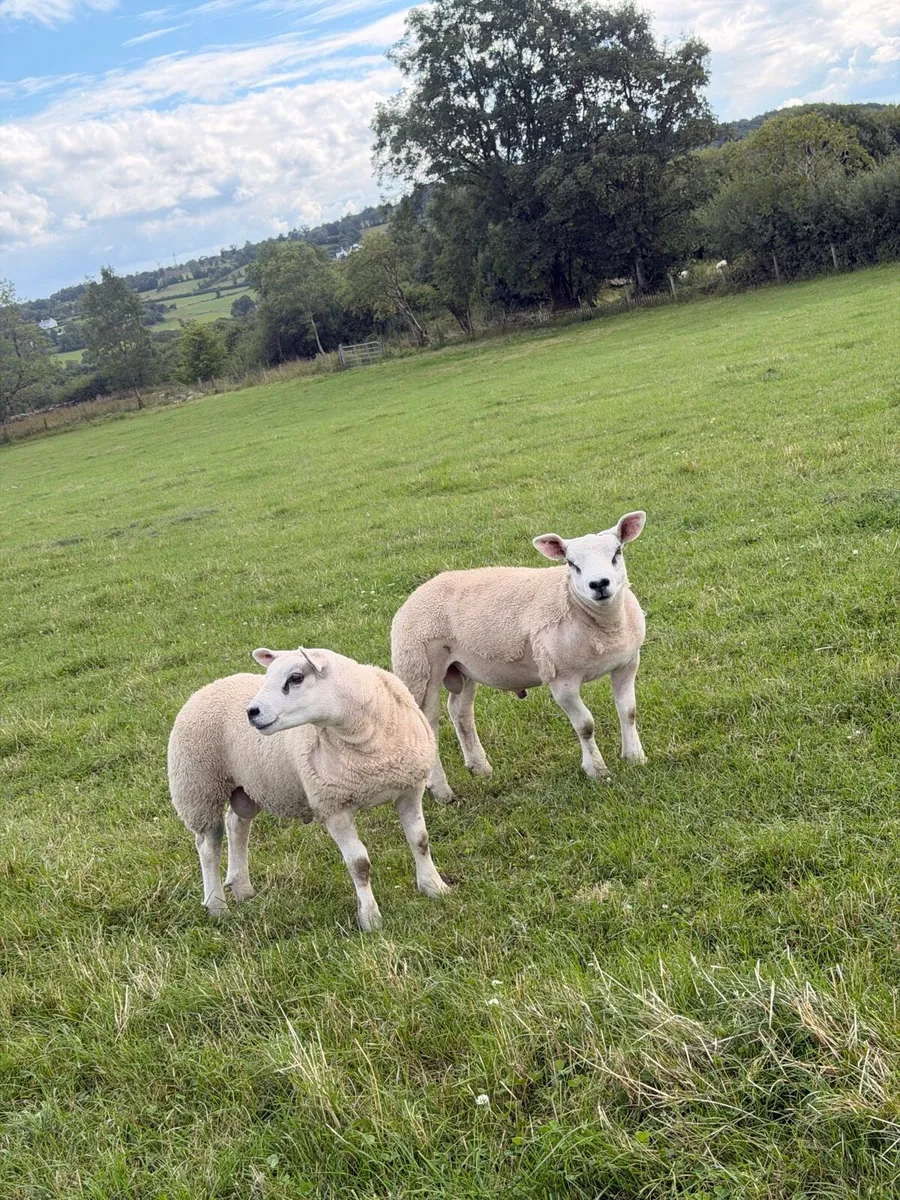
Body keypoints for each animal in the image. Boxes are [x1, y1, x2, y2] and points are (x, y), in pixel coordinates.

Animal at [168, 646, 449, 929]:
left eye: (295, 678)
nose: (251, 712)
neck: (367, 742)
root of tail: (207, 687)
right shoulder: (333, 808)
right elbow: (359, 864)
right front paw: (370, 918)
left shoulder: (410, 788)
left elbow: (420, 840)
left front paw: (435, 887)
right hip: (199, 789)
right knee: (208, 847)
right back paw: (216, 905)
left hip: (247, 784)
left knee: (237, 824)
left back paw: (243, 888)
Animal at [391, 512, 648, 802]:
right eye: (571, 564)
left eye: (617, 552)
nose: (599, 584)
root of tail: (417, 592)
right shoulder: (562, 680)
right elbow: (585, 725)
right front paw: (597, 770)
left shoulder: (627, 663)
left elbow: (628, 711)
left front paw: (635, 757)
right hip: (418, 667)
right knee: (427, 722)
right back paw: (442, 791)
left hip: (462, 667)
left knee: (459, 710)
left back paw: (480, 767)